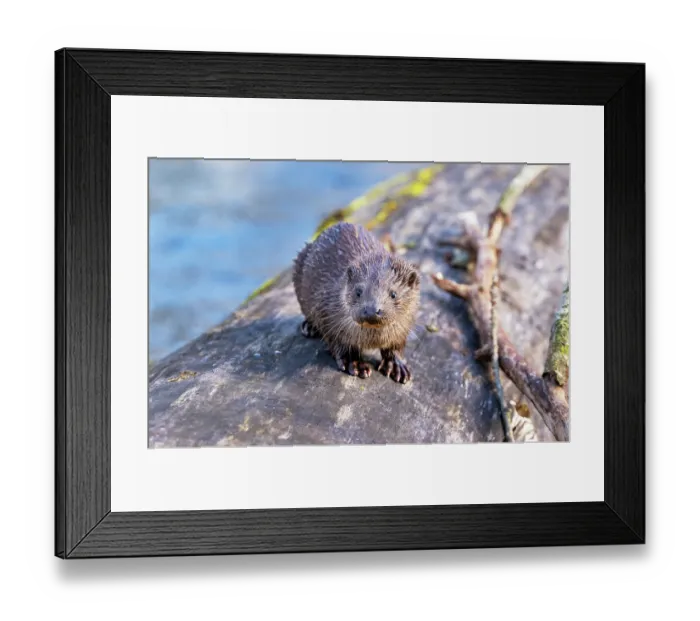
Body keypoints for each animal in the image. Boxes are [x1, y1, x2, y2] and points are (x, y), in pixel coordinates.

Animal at [292, 222, 420, 384]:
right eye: (358, 291)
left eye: (393, 294)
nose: (371, 310)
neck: (372, 339)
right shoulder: (327, 315)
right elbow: (340, 344)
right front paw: (354, 363)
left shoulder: (404, 326)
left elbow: (396, 345)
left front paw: (396, 365)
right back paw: (309, 327)